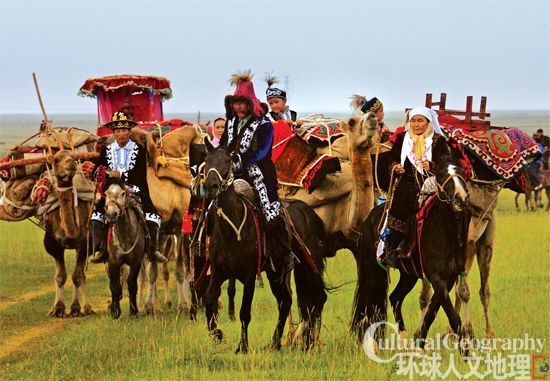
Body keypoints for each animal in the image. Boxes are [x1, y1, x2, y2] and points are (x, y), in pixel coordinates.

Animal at [203, 144, 330, 352]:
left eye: (227, 161)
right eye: (206, 160)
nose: (211, 186)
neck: (232, 230)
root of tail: (311, 214)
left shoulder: (249, 276)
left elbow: (244, 312)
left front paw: (242, 347)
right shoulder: (218, 272)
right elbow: (209, 299)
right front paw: (218, 335)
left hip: (308, 266)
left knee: (317, 298)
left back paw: (307, 343)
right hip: (275, 272)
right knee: (287, 301)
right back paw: (276, 343)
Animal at [354, 152, 470, 350]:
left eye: (461, 171)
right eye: (440, 174)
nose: (460, 198)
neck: (445, 232)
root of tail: (369, 219)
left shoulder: (448, 278)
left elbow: (433, 310)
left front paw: (419, 343)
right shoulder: (437, 278)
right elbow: (453, 316)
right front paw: (466, 351)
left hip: (408, 275)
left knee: (394, 298)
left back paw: (403, 339)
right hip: (372, 269)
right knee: (369, 301)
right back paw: (371, 343)